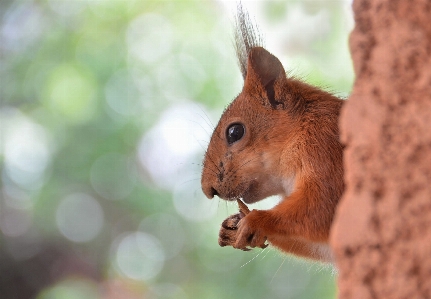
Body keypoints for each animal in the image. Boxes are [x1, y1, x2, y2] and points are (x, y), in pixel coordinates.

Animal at [201, 4, 346, 262]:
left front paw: (256, 219)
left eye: (235, 132)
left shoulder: (326, 149)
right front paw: (231, 228)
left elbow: (323, 208)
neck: (298, 134)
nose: (209, 190)